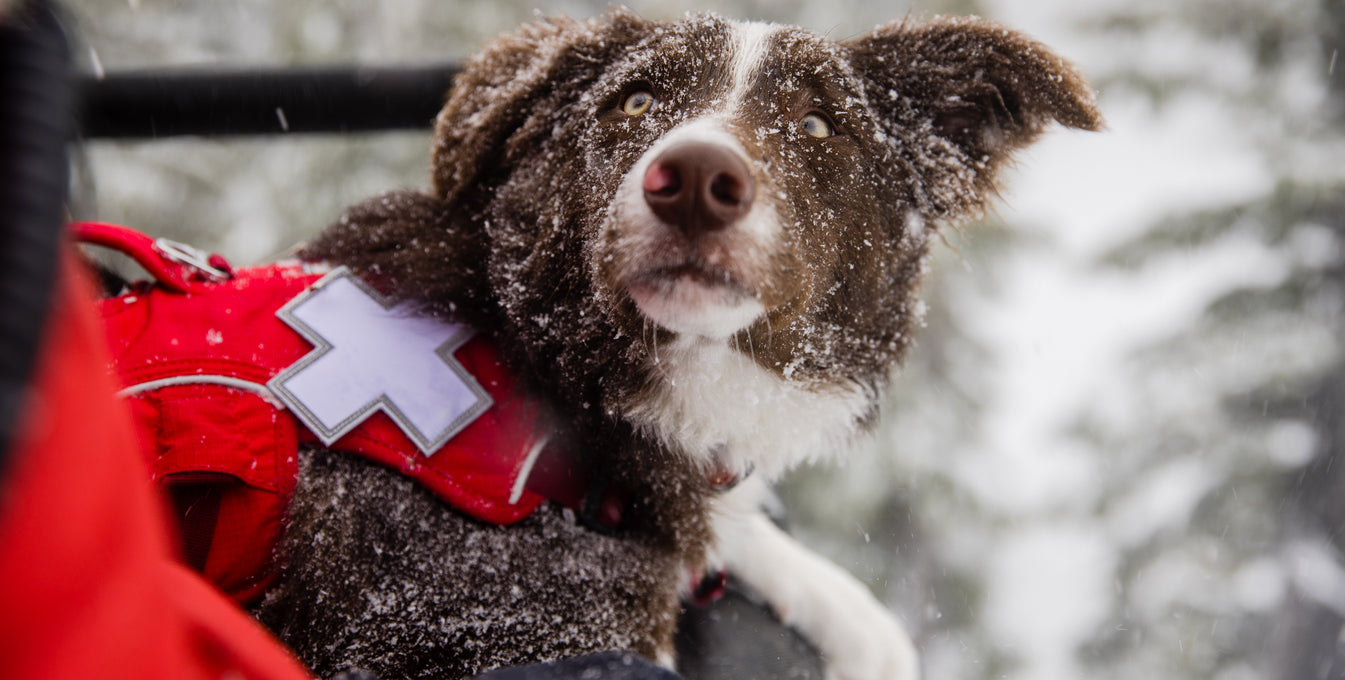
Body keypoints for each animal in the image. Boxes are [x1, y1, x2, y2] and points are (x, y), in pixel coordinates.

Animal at [225, 9, 1097, 680]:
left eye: (818, 124)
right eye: (636, 99)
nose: (696, 179)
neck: (561, 380)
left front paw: (849, 613)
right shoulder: (454, 611)